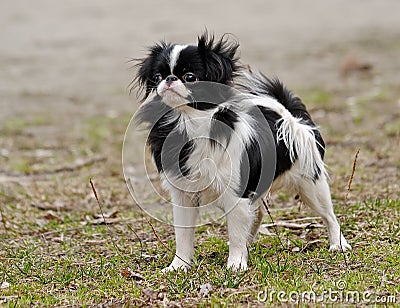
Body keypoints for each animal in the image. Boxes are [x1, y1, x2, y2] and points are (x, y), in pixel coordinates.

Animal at [134, 31, 350, 272]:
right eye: (157, 77)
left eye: (190, 77)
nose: (169, 79)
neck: (190, 121)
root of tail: (287, 113)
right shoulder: (183, 195)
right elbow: (183, 235)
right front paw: (179, 266)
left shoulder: (235, 194)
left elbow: (235, 233)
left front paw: (236, 264)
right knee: (257, 214)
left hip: (311, 185)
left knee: (329, 215)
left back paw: (338, 244)